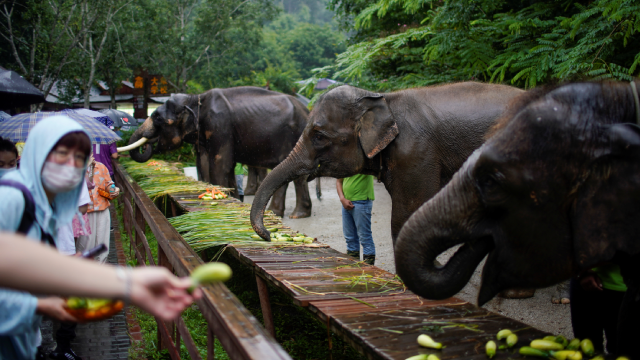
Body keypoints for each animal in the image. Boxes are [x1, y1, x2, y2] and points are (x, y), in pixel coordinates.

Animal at [119, 86, 312, 218]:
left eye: (158, 118)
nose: (147, 142)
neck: (196, 99)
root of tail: (307, 110)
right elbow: (205, 164)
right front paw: (230, 197)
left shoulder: (220, 125)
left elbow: (220, 164)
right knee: (298, 176)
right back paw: (296, 214)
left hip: (291, 136)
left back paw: (279, 213)